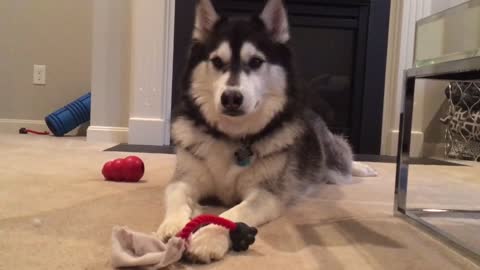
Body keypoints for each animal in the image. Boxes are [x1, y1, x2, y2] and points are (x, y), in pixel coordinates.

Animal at [157, 0, 376, 262]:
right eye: (217, 61)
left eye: (255, 62)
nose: (231, 98)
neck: (232, 137)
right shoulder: (185, 178)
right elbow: (176, 195)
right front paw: (174, 227)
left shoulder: (266, 195)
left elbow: (230, 214)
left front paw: (207, 238)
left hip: (335, 166)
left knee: (343, 160)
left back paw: (363, 168)